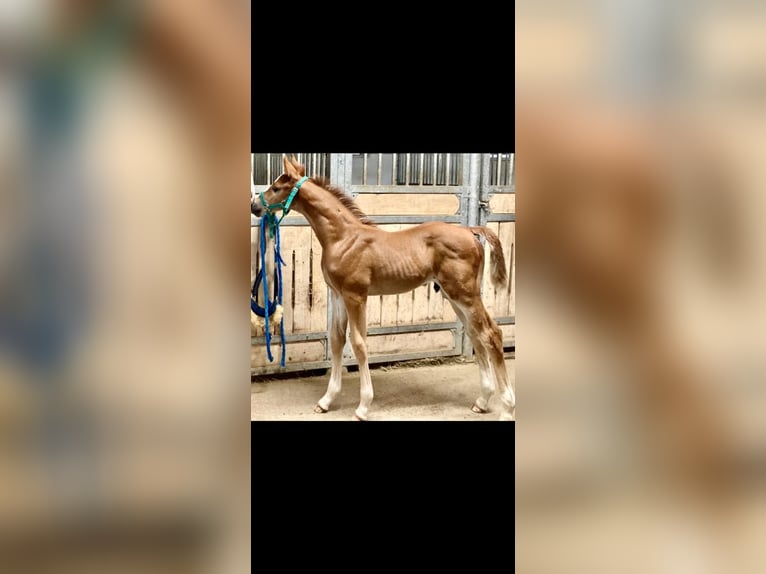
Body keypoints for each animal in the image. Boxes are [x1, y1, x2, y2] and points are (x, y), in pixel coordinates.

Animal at [252, 155, 515, 421]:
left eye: (276, 188)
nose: (255, 206)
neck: (343, 238)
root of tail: (470, 231)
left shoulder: (356, 296)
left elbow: (359, 343)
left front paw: (363, 407)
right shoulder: (338, 295)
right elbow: (337, 340)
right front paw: (326, 400)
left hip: (465, 294)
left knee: (492, 333)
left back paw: (507, 408)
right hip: (453, 296)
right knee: (475, 334)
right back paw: (482, 401)